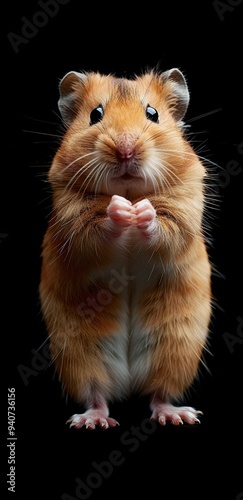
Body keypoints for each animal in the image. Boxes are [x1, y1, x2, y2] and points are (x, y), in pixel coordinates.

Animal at [39, 67, 212, 430]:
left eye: (153, 113)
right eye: (95, 114)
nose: (125, 149)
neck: (130, 189)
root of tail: (130, 380)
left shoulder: (186, 203)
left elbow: (167, 225)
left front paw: (140, 211)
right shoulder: (70, 215)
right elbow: (94, 227)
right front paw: (120, 209)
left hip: (175, 347)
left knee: (159, 392)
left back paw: (177, 416)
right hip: (80, 353)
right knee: (97, 393)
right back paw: (91, 421)